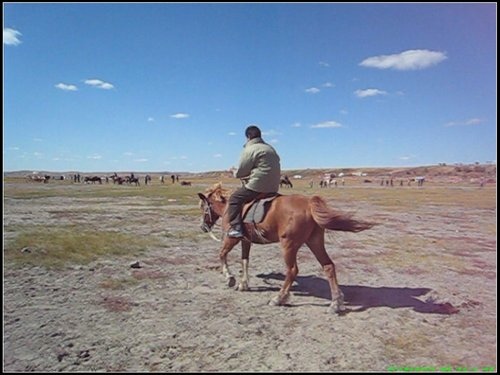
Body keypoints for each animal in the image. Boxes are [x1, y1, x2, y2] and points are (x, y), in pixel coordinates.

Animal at [197, 182, 374, 314]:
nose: (203, 227)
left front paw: (230, 278)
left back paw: (279, 298)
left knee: (292, 270)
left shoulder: (231, 238)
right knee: (328, 266)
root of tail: (309, 204)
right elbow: (244, 260)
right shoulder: (245, 241)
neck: (230, 206)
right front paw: (243, 284)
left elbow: (222, 254)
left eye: (203, 207)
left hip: (288, 245)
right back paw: (336, 303)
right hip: (314, 241)